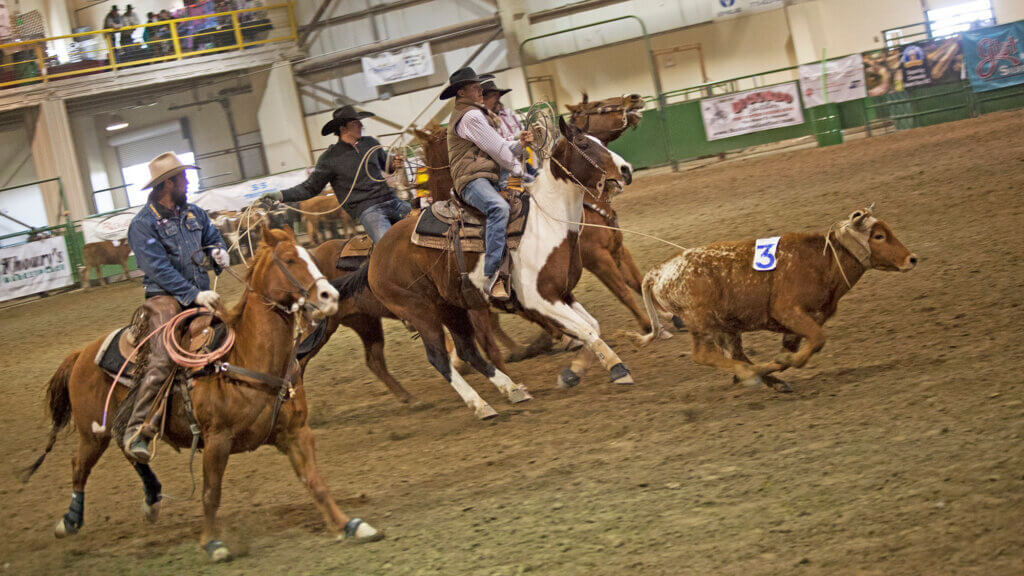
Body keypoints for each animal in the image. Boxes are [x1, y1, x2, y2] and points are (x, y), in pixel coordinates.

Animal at [22, 225, 385, 561]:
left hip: (115, 427)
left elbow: (315, 481)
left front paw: (349, 524)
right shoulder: (216, 441)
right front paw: (212, 542)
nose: (329, 296)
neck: (245, 356)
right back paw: (70, 520)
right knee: (79, 465)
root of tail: (82, 352)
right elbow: (211, 493)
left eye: (310, 255)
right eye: (290, 259)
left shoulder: (296, 432)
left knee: (129, 450)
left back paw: (152, 500)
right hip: (91, 433)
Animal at [331, 118, 630, 420]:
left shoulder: (563, 294)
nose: (626, 170)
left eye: (600, 141)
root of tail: (375, 255)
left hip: (451, 308)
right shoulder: (540, 299)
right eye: (584, 144)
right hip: (419, 311)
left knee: (467, 351)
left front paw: (573, 372)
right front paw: (617, 368)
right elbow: (587, 330)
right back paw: (480, 405)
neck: (546, 222)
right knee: (438, 358)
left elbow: (592, 326)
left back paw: (512, 389)